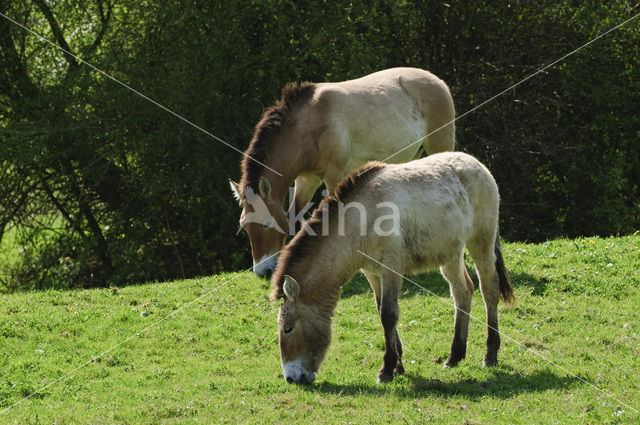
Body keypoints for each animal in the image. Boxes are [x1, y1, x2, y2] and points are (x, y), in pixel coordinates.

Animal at [230, 68, 456, 276]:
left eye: (267, 224)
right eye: (245, 226)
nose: (263, 271)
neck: (308, 124)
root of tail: (438, 82)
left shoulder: (333, 175)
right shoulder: (307, 179)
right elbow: (294, 214)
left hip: (440, 147)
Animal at [270, 151, 516, 382]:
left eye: (288, 328)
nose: (291, 378)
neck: (361, 220)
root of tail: (478, 165)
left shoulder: (391, 267)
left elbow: (388, 314)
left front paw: (387, 369)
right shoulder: (372, 272)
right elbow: (381, 311)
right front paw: (398, 365)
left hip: (481, 242)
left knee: (489, 290)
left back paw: (490, 355)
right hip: (451, 254)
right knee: (463, 292)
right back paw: (454, 356)